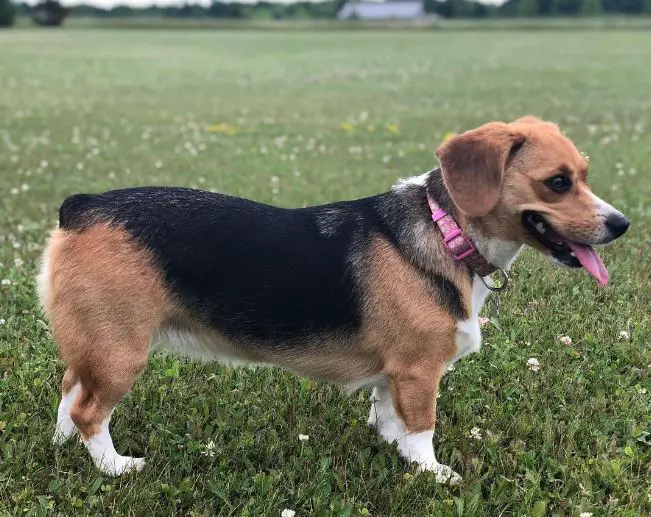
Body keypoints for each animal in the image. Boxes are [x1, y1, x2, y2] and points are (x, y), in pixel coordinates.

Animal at [38, 115, 628, 482]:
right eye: (557, 182)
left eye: (584, 175)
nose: (621, 224)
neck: (446, 231)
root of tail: (81, 205)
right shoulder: (419, 372)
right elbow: (422, 428)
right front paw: (433, 473)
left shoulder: (395, 375)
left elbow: (390, 419)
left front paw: (396, 452)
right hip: (121, 352)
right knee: (90, 410)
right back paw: (114, 466)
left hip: (94, 347)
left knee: (70, 392)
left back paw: (63, 448)